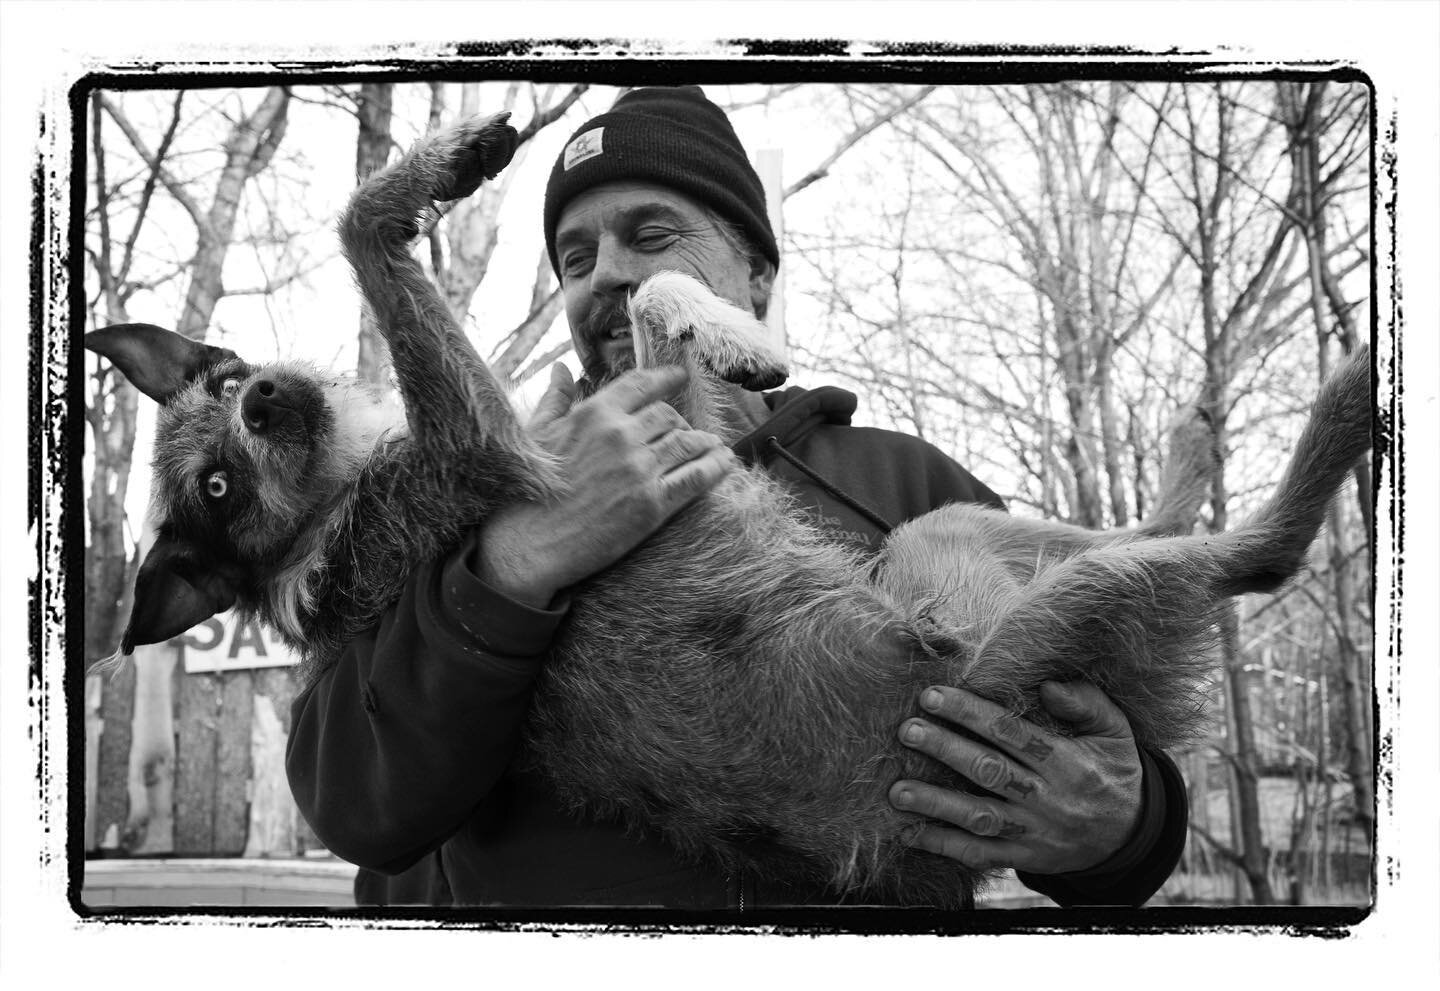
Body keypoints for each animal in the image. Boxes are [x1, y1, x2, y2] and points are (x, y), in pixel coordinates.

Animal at [90, 110, 1370, 904]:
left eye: (219, 390)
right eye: (215, 485)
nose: (264, 396)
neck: (337, 508)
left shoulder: (683, 432)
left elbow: (658, 294)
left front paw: (736, 334)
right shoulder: (498, 453)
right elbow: (364, 231)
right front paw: (422, 182)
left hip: (945, 539)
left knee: (1143, 528)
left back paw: (1191, 447)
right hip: (1039, 624)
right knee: (1260, 553)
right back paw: (1342, 405)